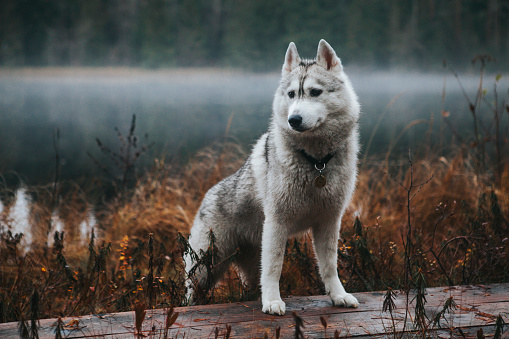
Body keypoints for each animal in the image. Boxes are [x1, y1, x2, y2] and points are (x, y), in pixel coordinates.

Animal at [185, 39, 360, 316]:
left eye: (315, 92)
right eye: (291, 94)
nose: (294, 120)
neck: (316, 163)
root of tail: (208, 194)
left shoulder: (329, 221)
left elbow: (329, 266)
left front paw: (338, 296)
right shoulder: (277, 223)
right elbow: (274, 267)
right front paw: (272, 301)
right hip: (205, 267)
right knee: (192, 291)